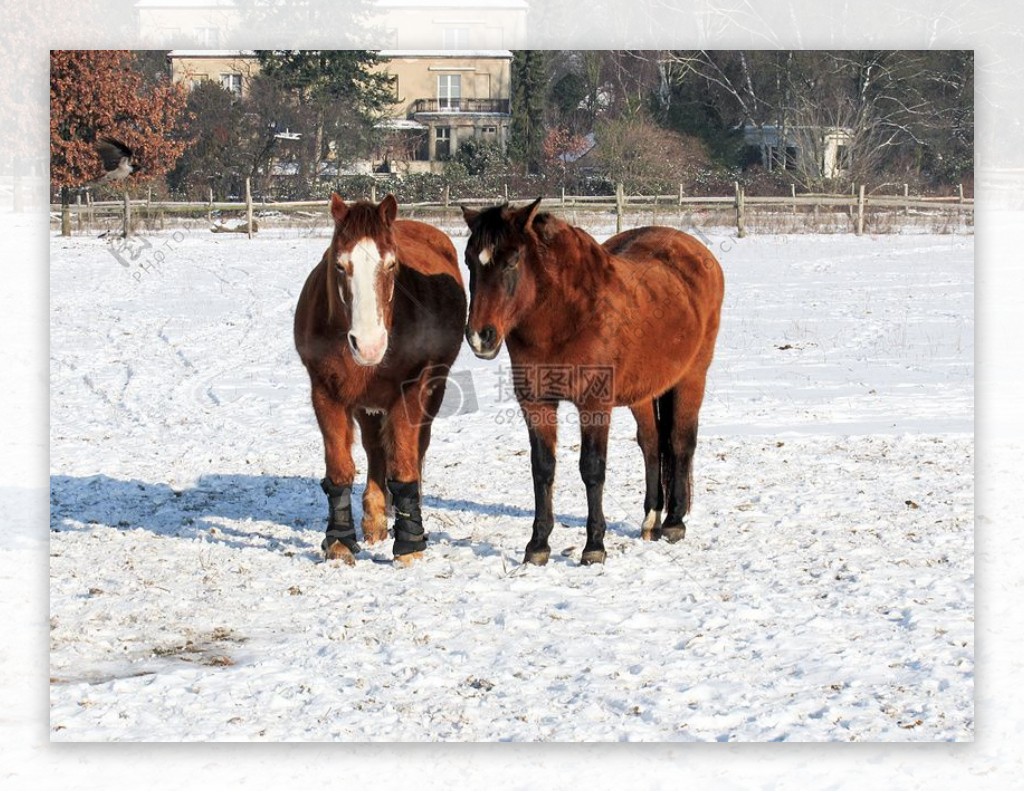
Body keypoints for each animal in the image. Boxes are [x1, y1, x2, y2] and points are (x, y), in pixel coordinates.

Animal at [294, 194, 466, 565]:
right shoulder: (326, 394)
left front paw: (410, 544)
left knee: (415, 448)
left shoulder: (410, 392)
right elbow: (340, 469)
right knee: (375, 449)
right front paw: (340, 542)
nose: (369, 345)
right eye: (340, 265)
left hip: (432, 391)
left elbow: (403, 464)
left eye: (391, 265)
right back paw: (374, 519)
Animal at [460, 200, 724, 565]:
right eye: (469, 260)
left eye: (512, 260)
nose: (479, 337)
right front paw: (538, 545)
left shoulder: (594, 403)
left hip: (691, 377)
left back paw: (673, 522)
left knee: (680, 442)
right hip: (643, 393)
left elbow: (592, 468)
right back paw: (651, 520)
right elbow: (542, 468)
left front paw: (594, 546)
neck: (566, 317)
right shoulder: (536, 403)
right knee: (652, 443)